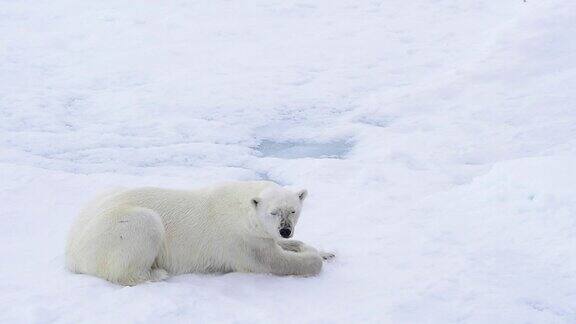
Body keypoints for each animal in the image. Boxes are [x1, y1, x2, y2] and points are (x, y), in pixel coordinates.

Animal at [65, 181, 332, 284]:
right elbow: (273, 262)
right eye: (273, 212)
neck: (241, 208)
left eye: (293, 210)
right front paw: (312, 257)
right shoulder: (241, 240)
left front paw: (324, 251)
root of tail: (71, 251)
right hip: (117, 228)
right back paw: (157, 273)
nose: (285, 230)